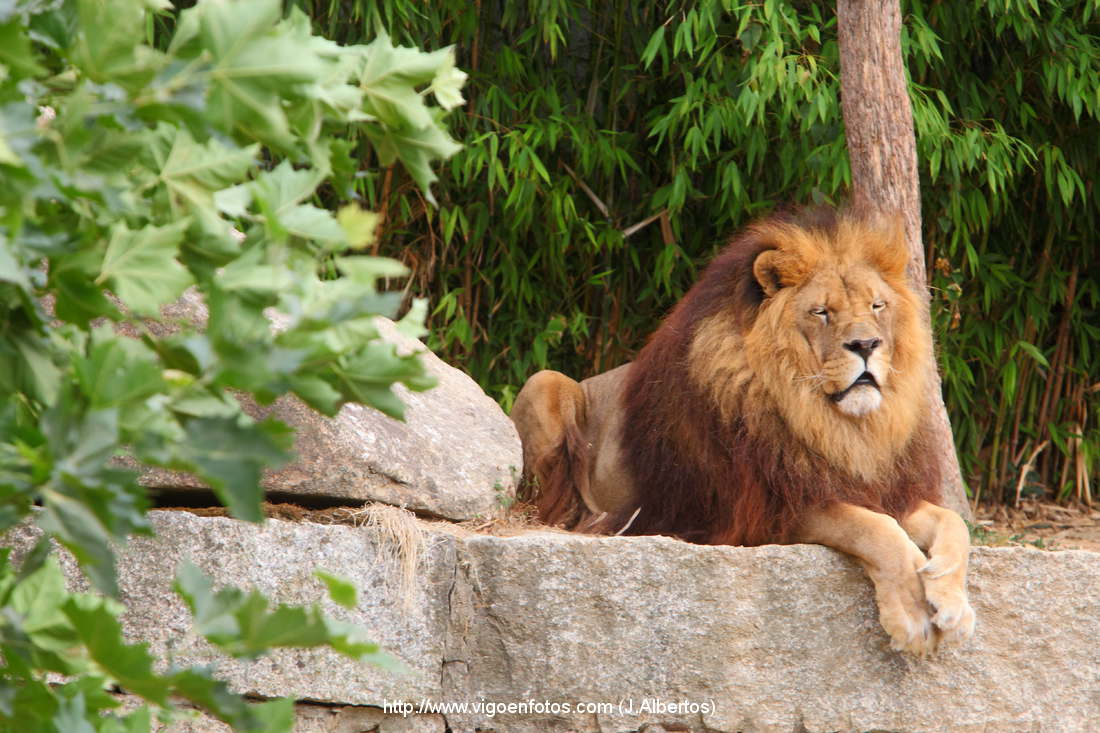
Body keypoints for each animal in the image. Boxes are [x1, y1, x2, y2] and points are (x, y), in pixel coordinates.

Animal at [510, 206, 976, 655]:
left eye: (877, 306)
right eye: (822, 312)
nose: (866, 345)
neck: (839, 426)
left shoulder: (884, 488)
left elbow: (954, 523)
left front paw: (951, 600)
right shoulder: (774, 510)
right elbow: (877, 530)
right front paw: (914, 616)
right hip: (545, 382)